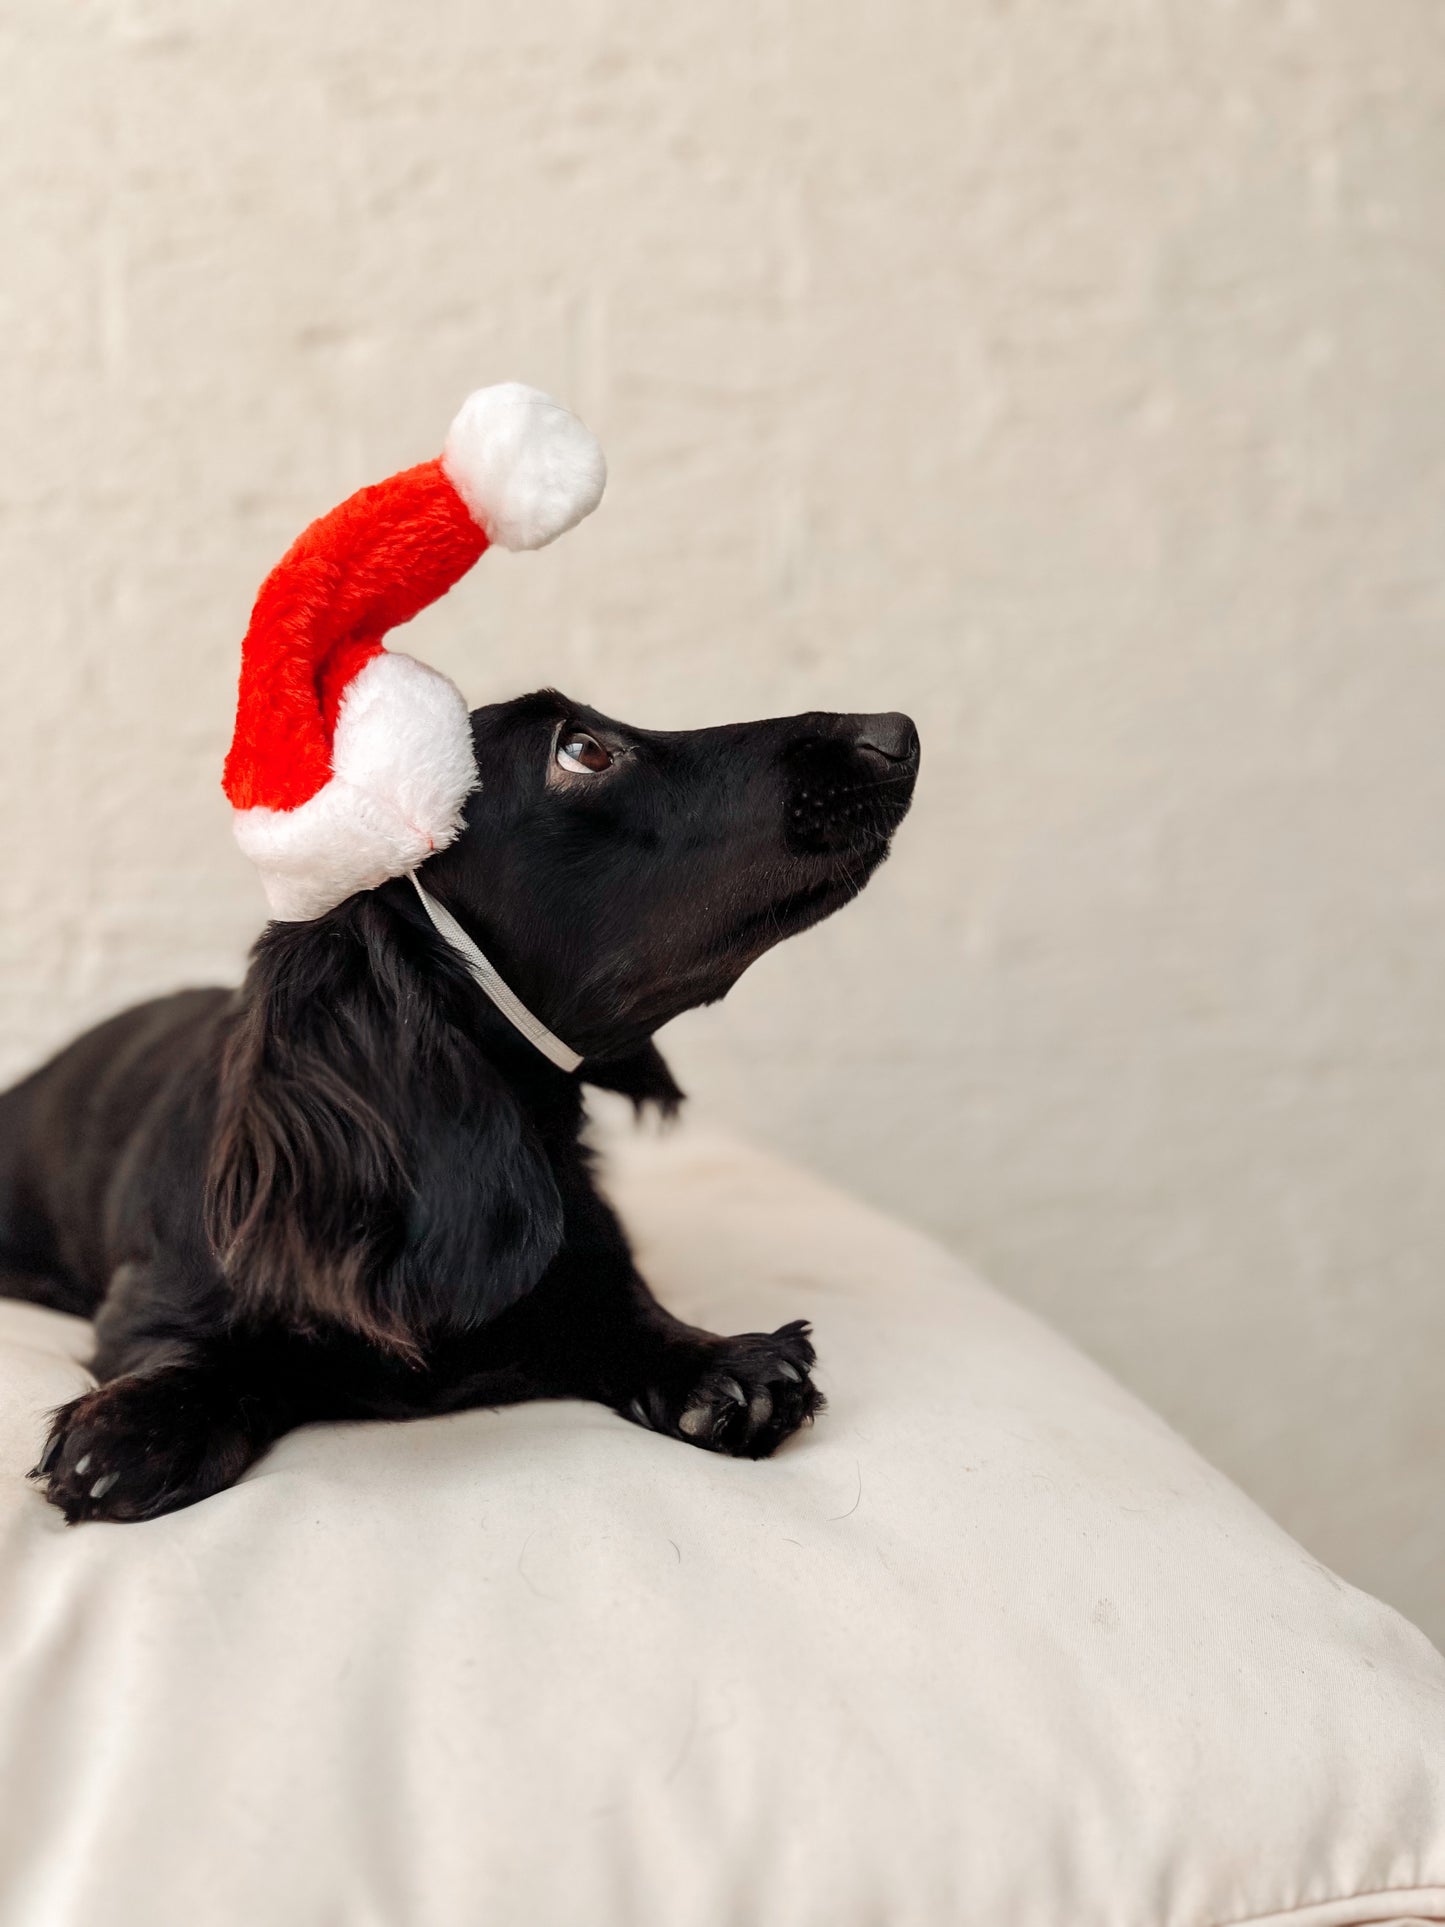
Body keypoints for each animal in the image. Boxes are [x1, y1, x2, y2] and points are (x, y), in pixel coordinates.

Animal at [0, 693, 920, 1518]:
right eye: (581, 750)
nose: (896, 731)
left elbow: (620, 1312)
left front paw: (719, 1364)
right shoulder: (148, 1305)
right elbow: (229, 1359)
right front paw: (141, 1422)